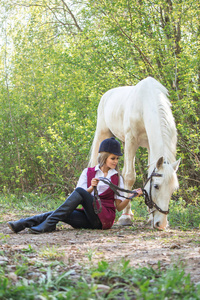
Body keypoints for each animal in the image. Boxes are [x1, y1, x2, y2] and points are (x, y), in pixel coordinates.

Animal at [88, 77, 180, 230]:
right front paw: (125, 218)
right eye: (156, 186)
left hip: (123, 142)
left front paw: (149, 218)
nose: (161, 224)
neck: (144, 103)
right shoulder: (132, 140)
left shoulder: (148, 144)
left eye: (173, 189)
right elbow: (130, 176)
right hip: (104, 133)